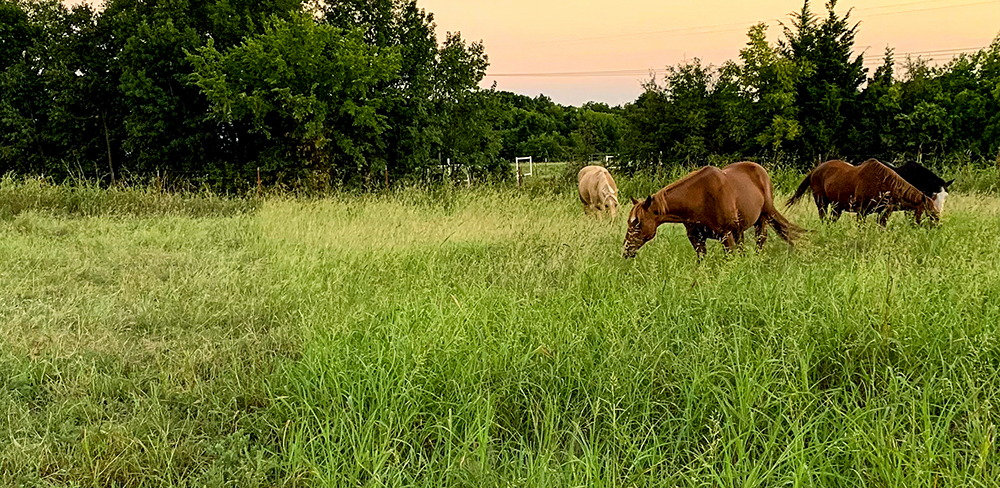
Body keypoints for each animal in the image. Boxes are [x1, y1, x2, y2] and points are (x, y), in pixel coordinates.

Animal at [616, 161, 804, 260]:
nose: (626, 249)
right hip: (740, 230)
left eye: (638, 223)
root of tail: (760, 170)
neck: (700, 197)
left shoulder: (726, 235)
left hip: (762, 219)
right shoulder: (697, 238)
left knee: (760, 241)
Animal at [788, 159, 936, 226]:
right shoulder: (861, 212)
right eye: (928, 212)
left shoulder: (883, 213)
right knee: (823, 218)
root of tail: (815, 170)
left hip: (837, 207)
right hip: (822, 203)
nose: (935, 226)